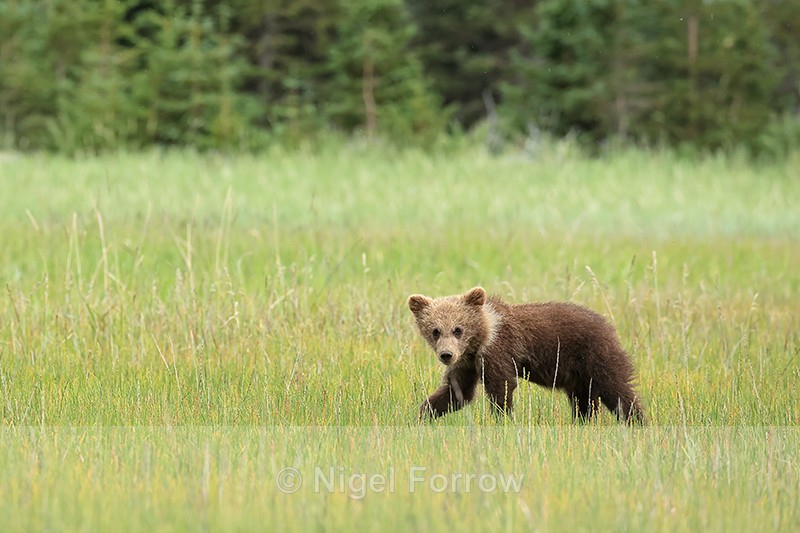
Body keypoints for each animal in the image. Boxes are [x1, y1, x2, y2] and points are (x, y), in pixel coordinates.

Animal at [408, 286, 644, 424]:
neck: (483, 337)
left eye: (458, 329)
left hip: (595, 355)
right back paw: (583, 422)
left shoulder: (498, 351)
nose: (446, 355)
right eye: (435, 330)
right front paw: (422, 414)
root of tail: (609, 326)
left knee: (616, 389)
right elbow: (458, 392)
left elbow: (502, 386)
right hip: (578, 374)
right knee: (583, 399)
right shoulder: (468, 363)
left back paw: (637, 421)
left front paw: (503, 420)